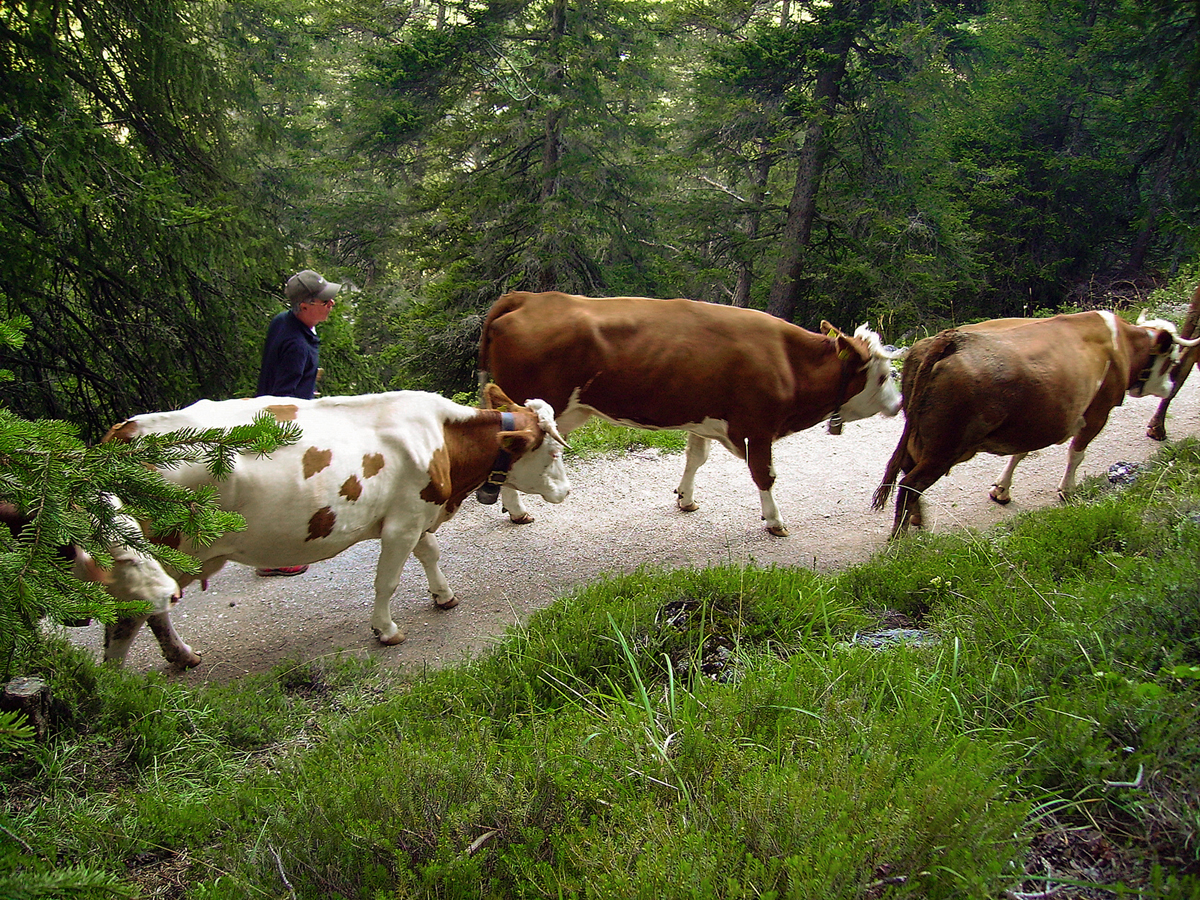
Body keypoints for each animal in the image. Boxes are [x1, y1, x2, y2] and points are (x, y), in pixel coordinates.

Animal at [100, 388, 568, 672]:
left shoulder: (416, 513)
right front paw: (386, 630)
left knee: (150, 613)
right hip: (158, 553)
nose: (564, 490)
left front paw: (444, 596)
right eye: (551, 452)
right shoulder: (401, 524)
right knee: (126, 618)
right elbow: (387, 580)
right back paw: (117, 687)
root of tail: (121, 436)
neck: (444, 443)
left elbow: (430, 554)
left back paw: (180, 656)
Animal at [477, 292, 902, 540]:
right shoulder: (758, 425)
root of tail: (530, 297)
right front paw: (775, 521)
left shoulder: (707, 418)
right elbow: (764, 474)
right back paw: (517, 511)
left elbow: (696, 458)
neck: (788, 361)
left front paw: (686, 498)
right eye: (884, 376)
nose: (899, 404)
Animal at [868, 312, 1195, 535]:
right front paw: (1068, 491)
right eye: (1170, 357)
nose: (1170, 385)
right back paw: (900, 541)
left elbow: (1020, 453)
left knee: (908, 472)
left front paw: (1001, 490)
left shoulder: (1032, 421)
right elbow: (1077, 453)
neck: (1121, 344)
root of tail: (950, 339)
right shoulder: (1098, 412)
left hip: (923, 436)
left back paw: (917, 521)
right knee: (910, 484)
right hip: (945, 446)